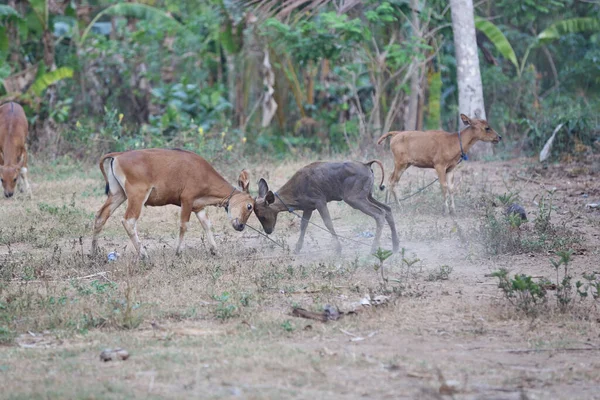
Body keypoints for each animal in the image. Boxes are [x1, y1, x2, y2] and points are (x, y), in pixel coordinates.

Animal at [90, 148, 254, 258]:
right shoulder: (187, 200)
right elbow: (184, 225)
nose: (241, 226)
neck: (203, 173)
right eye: (250, 206)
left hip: (118, 194)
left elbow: (207, 224)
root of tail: (118, 155)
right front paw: (178, 252)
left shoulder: (198, 206)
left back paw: (93, 253)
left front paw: (215, 250)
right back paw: (144, 255)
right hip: (137, 195)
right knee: (129, 221)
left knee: (100, 216)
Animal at [253, 159, 398, 253]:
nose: (268, 231)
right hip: (368, 195)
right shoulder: (308, 207)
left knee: (380, 213)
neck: (295, 195)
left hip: (354, 197)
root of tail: (367, 165)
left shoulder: (320, 200)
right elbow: (303, 226)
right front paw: (297, 248)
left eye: (262, 215)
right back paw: (395, 246)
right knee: (388, 209)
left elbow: (328, 223)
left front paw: (338, 249)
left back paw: (373, 249)